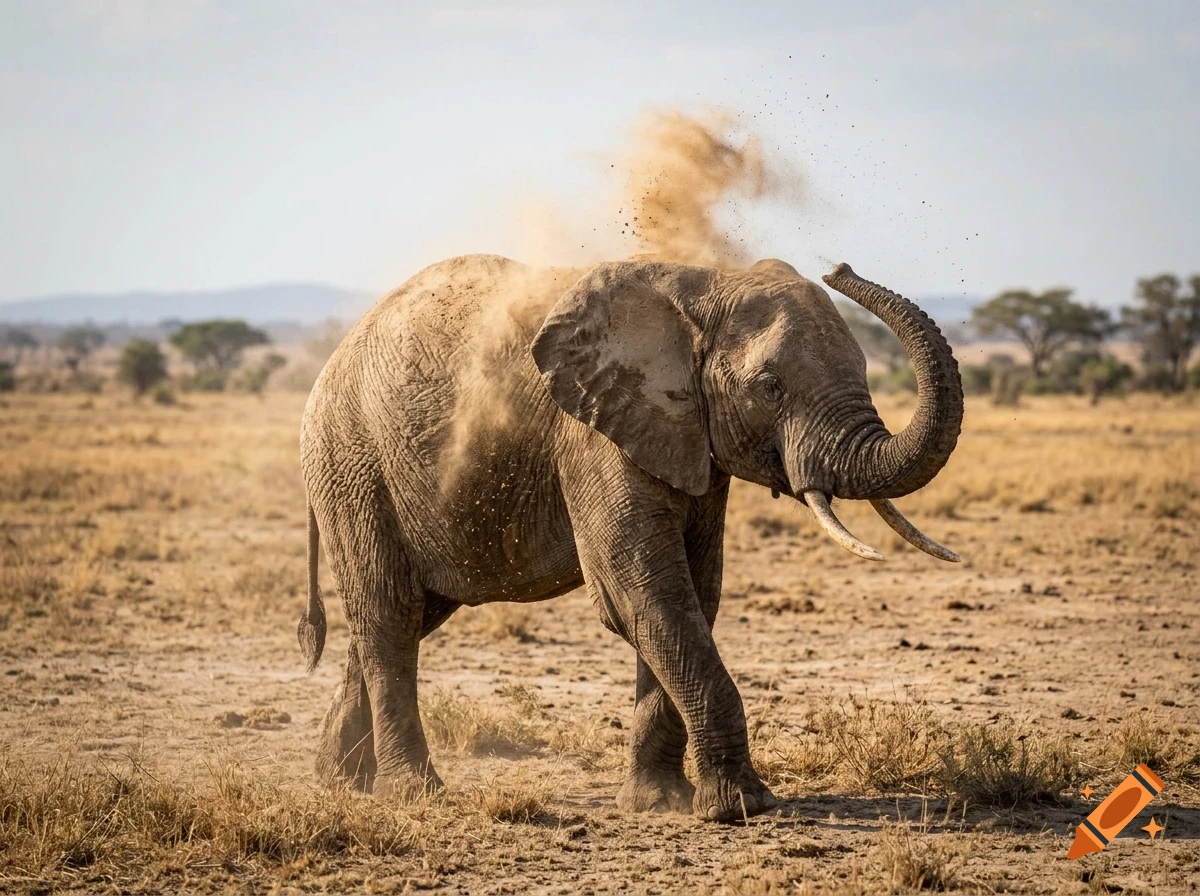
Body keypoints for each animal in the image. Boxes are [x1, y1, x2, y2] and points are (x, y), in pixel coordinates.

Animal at [297, 253, 963, 822]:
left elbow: (693, 594)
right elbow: (641, 592)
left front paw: (660, 804)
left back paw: (339, 781)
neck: (704, 284)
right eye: (770, 386)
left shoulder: (689, 438)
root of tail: (331, 361)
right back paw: (412, 794)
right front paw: (741, 808)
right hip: (353, 464)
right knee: (389, 610)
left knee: (401, 615)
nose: (839, 267)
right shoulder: (593, 434)